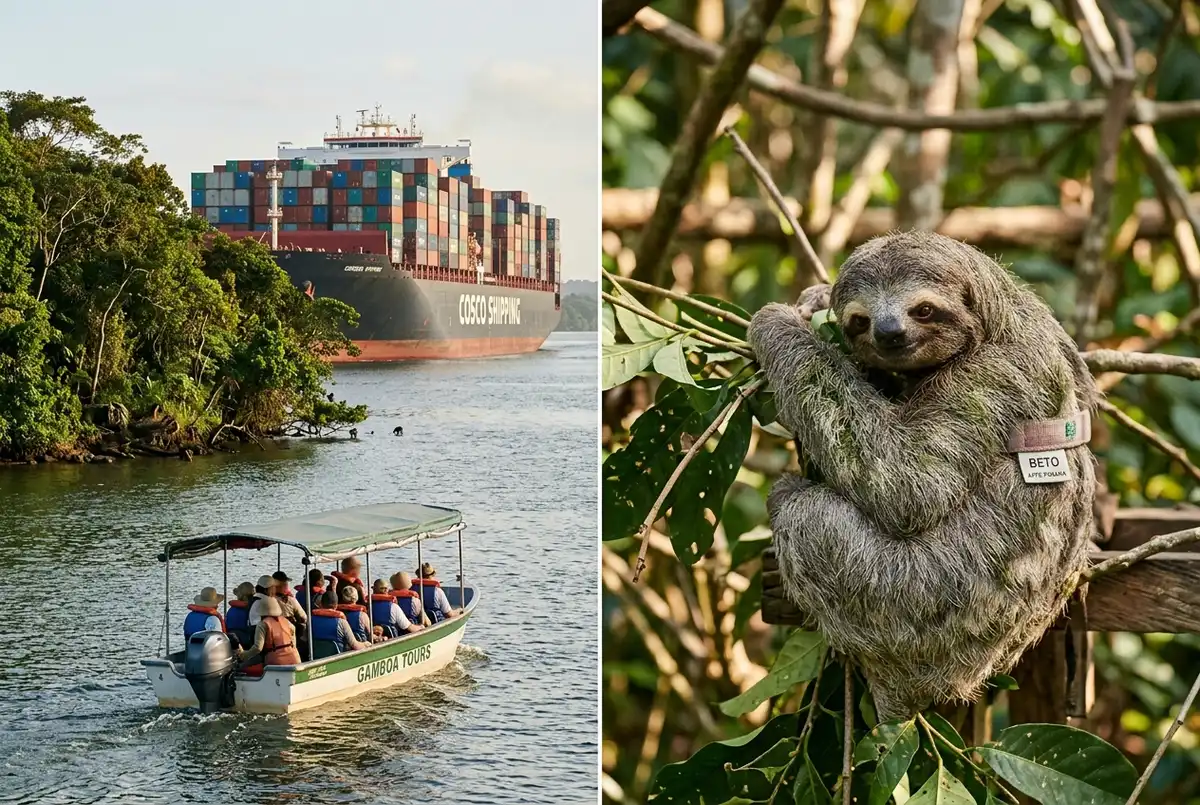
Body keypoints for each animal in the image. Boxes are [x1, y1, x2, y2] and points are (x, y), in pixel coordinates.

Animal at [746, 231, 1097, 720]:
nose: (889, 332)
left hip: (917, 602)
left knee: (807, 518)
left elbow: (910, 481)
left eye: (923, 309)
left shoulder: (998, 379)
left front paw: (775, 323)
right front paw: (813, 300)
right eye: (859, 320)